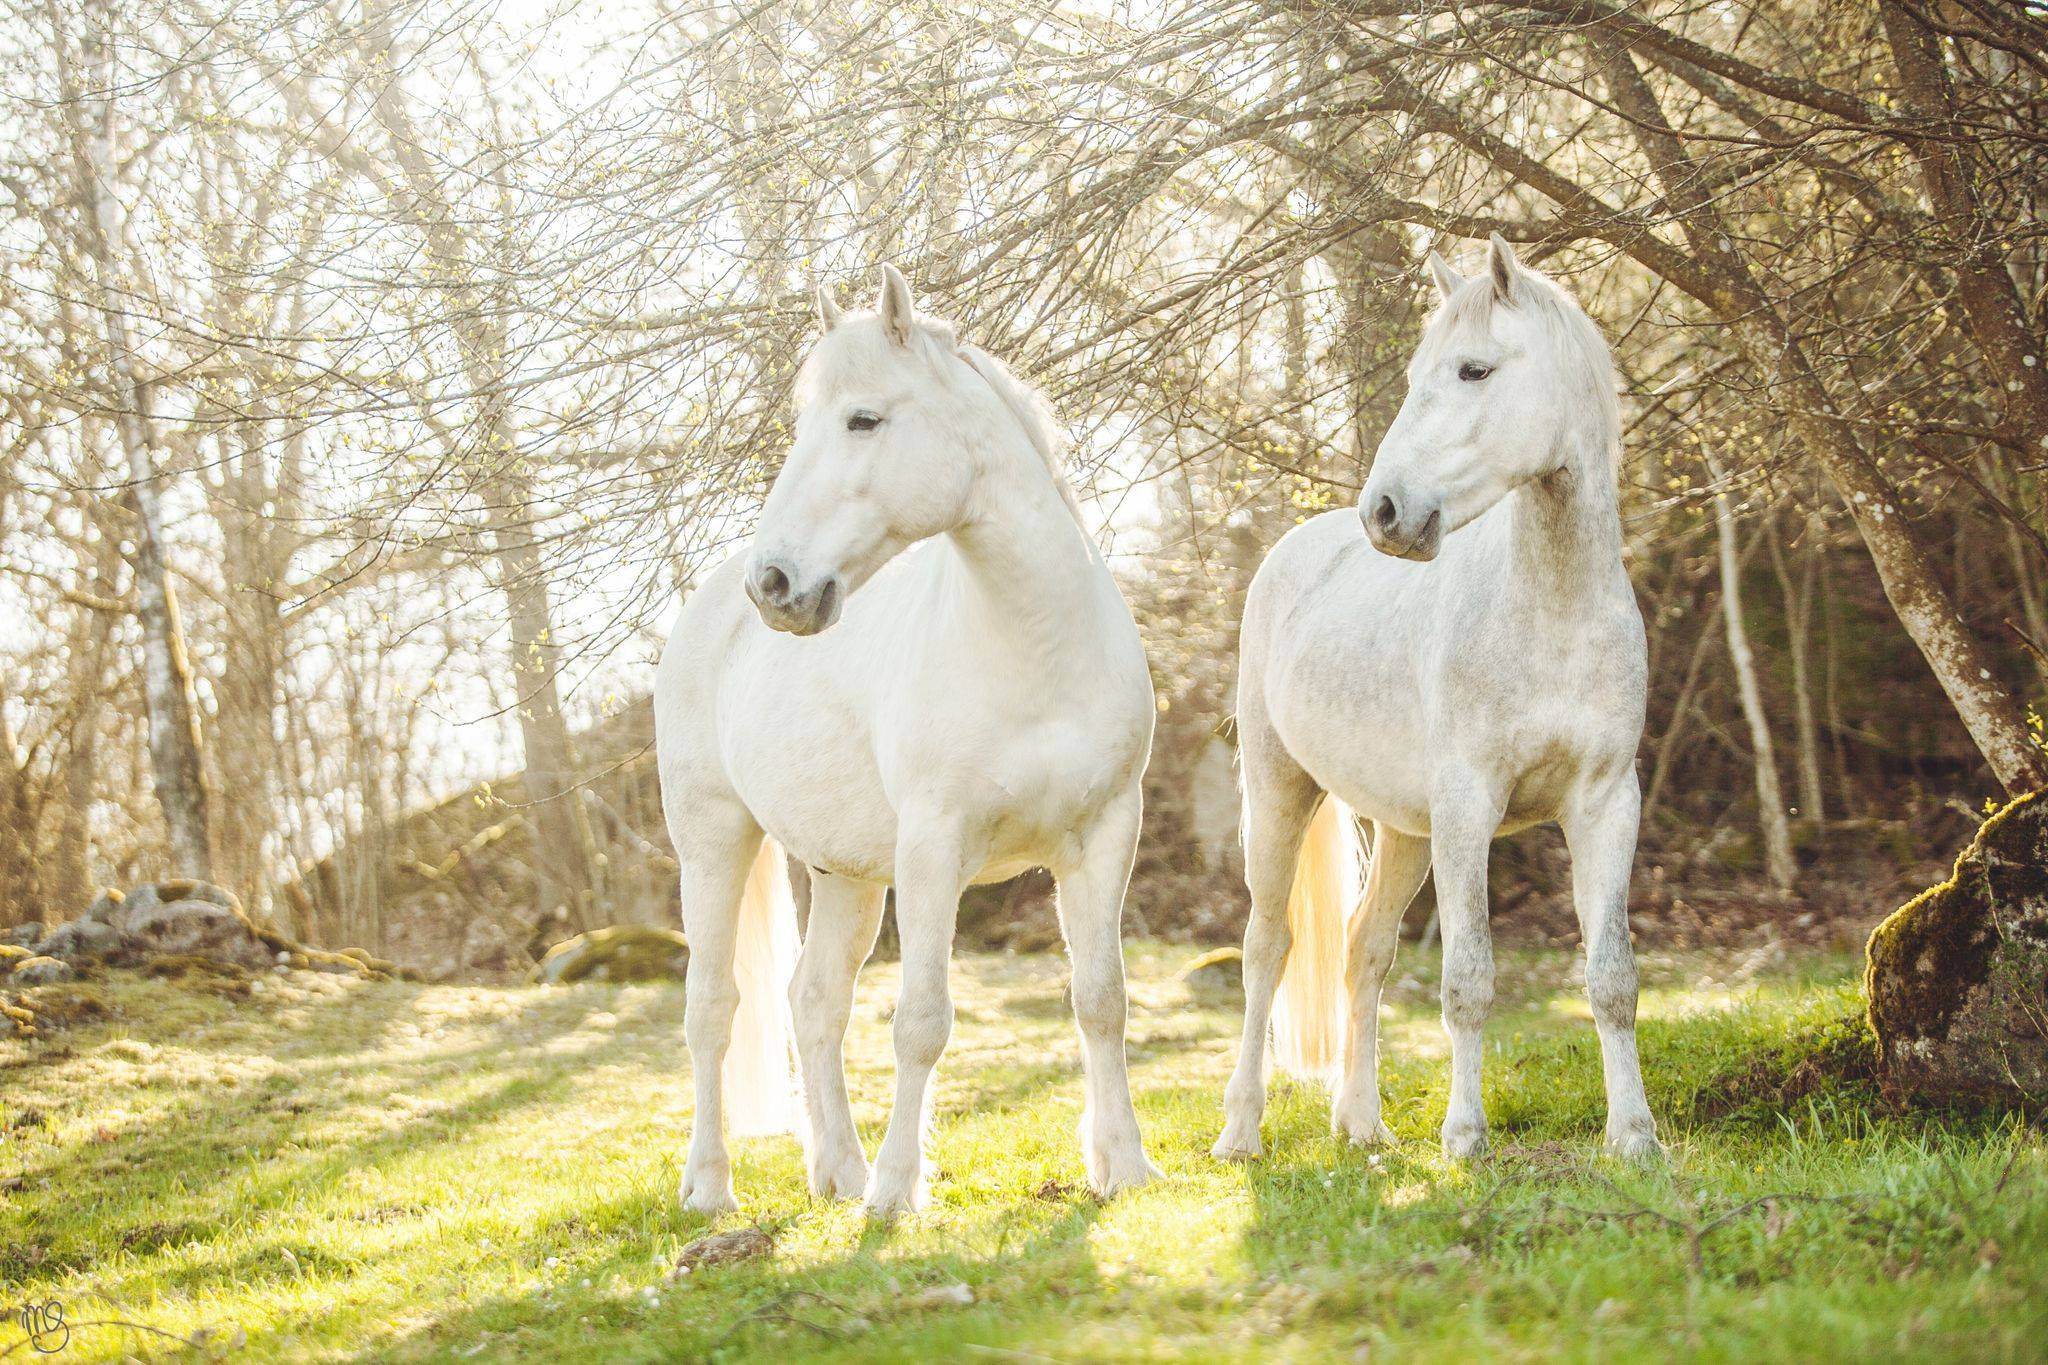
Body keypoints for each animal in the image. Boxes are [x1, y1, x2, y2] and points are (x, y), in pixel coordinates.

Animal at [659, 263, 1163, 1219]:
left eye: (864, 419)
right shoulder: (935, 850)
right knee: (711, 1007)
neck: (1033, 650)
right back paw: (711, 1185)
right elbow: (922, 1022)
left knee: (813, 1002)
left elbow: (1102, 999)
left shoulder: (1105, 837)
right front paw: (897, 1191)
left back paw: (838, 1171)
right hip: (713, 840)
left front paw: (1125, 1166)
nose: (776, 583)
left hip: (846, 874)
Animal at [1212, 235, 1662, 1162]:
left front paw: (1634, 1135)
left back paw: (1362, 1122)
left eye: (1475, 369)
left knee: (1364, 950)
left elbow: (1612, 977)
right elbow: (1469, 980)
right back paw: (1241, 1130)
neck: (1551, 611)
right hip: (1279, 794)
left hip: (1403, 830)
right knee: (1266, 946)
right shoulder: (1468, 809)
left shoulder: (1606, 805)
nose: (1386, 513)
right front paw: (1465, 1136)